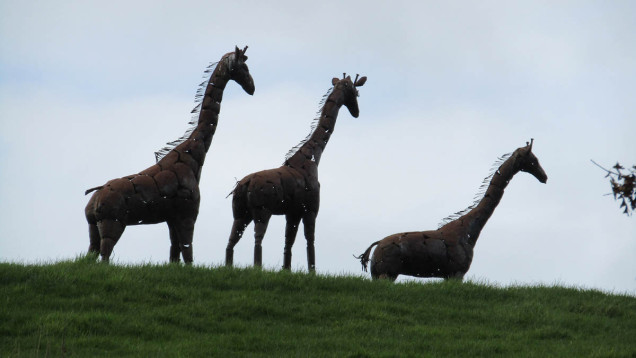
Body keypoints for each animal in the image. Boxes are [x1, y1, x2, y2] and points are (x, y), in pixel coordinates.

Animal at [84, 46, 253, 262]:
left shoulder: (172, 218)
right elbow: (188, 253)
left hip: (94, 227)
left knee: (90, 255)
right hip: (112, 223)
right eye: (243, 67)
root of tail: (94, 200)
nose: (251, 87)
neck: (194, 156)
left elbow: (174, 253)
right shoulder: (188, 214)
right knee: (105, 256)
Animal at [225, 75, 366, 272]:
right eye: (354, 91)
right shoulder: (310, 210)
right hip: (262, 212)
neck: (313, 157)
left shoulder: (292, 212)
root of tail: (244, 185)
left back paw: (229, 267)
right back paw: (257, 268)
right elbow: (309, 240)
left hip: (240, 214)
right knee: (257, 239)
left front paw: (286, 270)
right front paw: (312, 272)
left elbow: (288, 243)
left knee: (231, 240)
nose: (356, 112)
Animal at [358, 140, 548, 282]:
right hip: (386, 273)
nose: (544, 177)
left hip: (379, 275)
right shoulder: (457, 273)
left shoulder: (448, 275)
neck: (468, 230)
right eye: (533, 159)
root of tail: (376, 245)